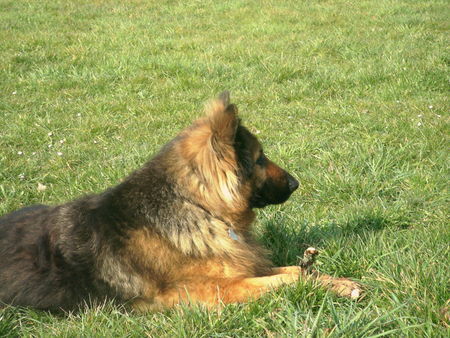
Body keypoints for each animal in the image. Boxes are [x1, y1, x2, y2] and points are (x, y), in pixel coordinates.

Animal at [0, 92, 360, 312]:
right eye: (259, 159)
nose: (296, 183)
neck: (198, 207)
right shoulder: (210, 290)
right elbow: (290, 278)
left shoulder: (243, 266)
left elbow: (297, 271)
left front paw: (339, 284)